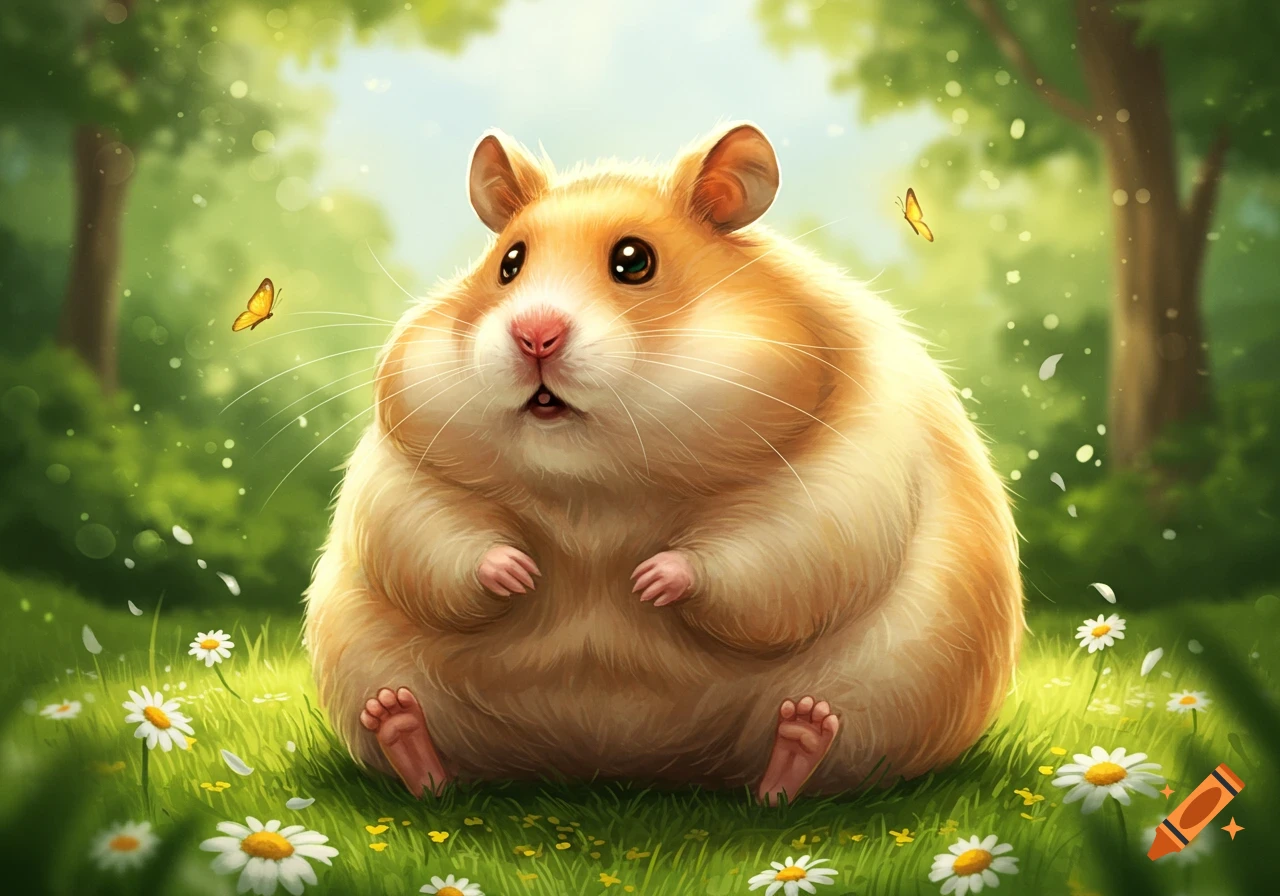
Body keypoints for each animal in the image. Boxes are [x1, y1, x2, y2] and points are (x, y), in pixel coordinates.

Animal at [303, 122, 1023, 804]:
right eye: (509, 263)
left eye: (633, 261)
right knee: (437, 774)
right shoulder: (402, 470)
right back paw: (400, 727)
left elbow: (766, 552)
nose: (535, 335)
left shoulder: (842, 484)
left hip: (885, 700)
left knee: (790, 781)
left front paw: (648, 580)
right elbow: (432, 538)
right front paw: (521, 573)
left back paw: (800, 738)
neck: (595, 487)